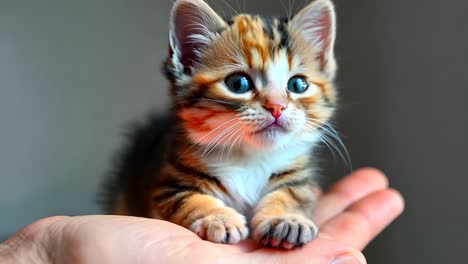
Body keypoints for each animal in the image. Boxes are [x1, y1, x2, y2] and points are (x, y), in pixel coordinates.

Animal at [102, 0, 338, 249]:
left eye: (298, 84)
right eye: (238, 83)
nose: (276, 106)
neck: (249, 157)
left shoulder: (299, 176)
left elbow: (293, 194)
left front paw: (287, 219)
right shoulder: (167, 183)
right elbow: (188, 199)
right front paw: (218, 218)